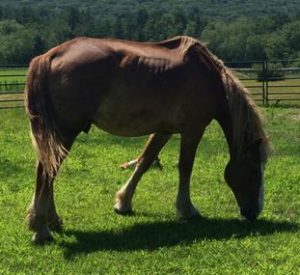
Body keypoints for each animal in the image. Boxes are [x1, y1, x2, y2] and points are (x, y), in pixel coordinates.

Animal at [24, 36, 270, 244]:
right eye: (253, 170)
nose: (253, 213)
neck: (209, 77)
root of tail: (49, 56)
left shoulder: (164, 130)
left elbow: (144, 162)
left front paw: (123, 203)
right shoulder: (193, 130)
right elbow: (185, 167)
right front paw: (187, 210)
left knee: (46, 170)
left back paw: (52, 221)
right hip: (65, 132)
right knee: (46, 173)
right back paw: (41, 229)